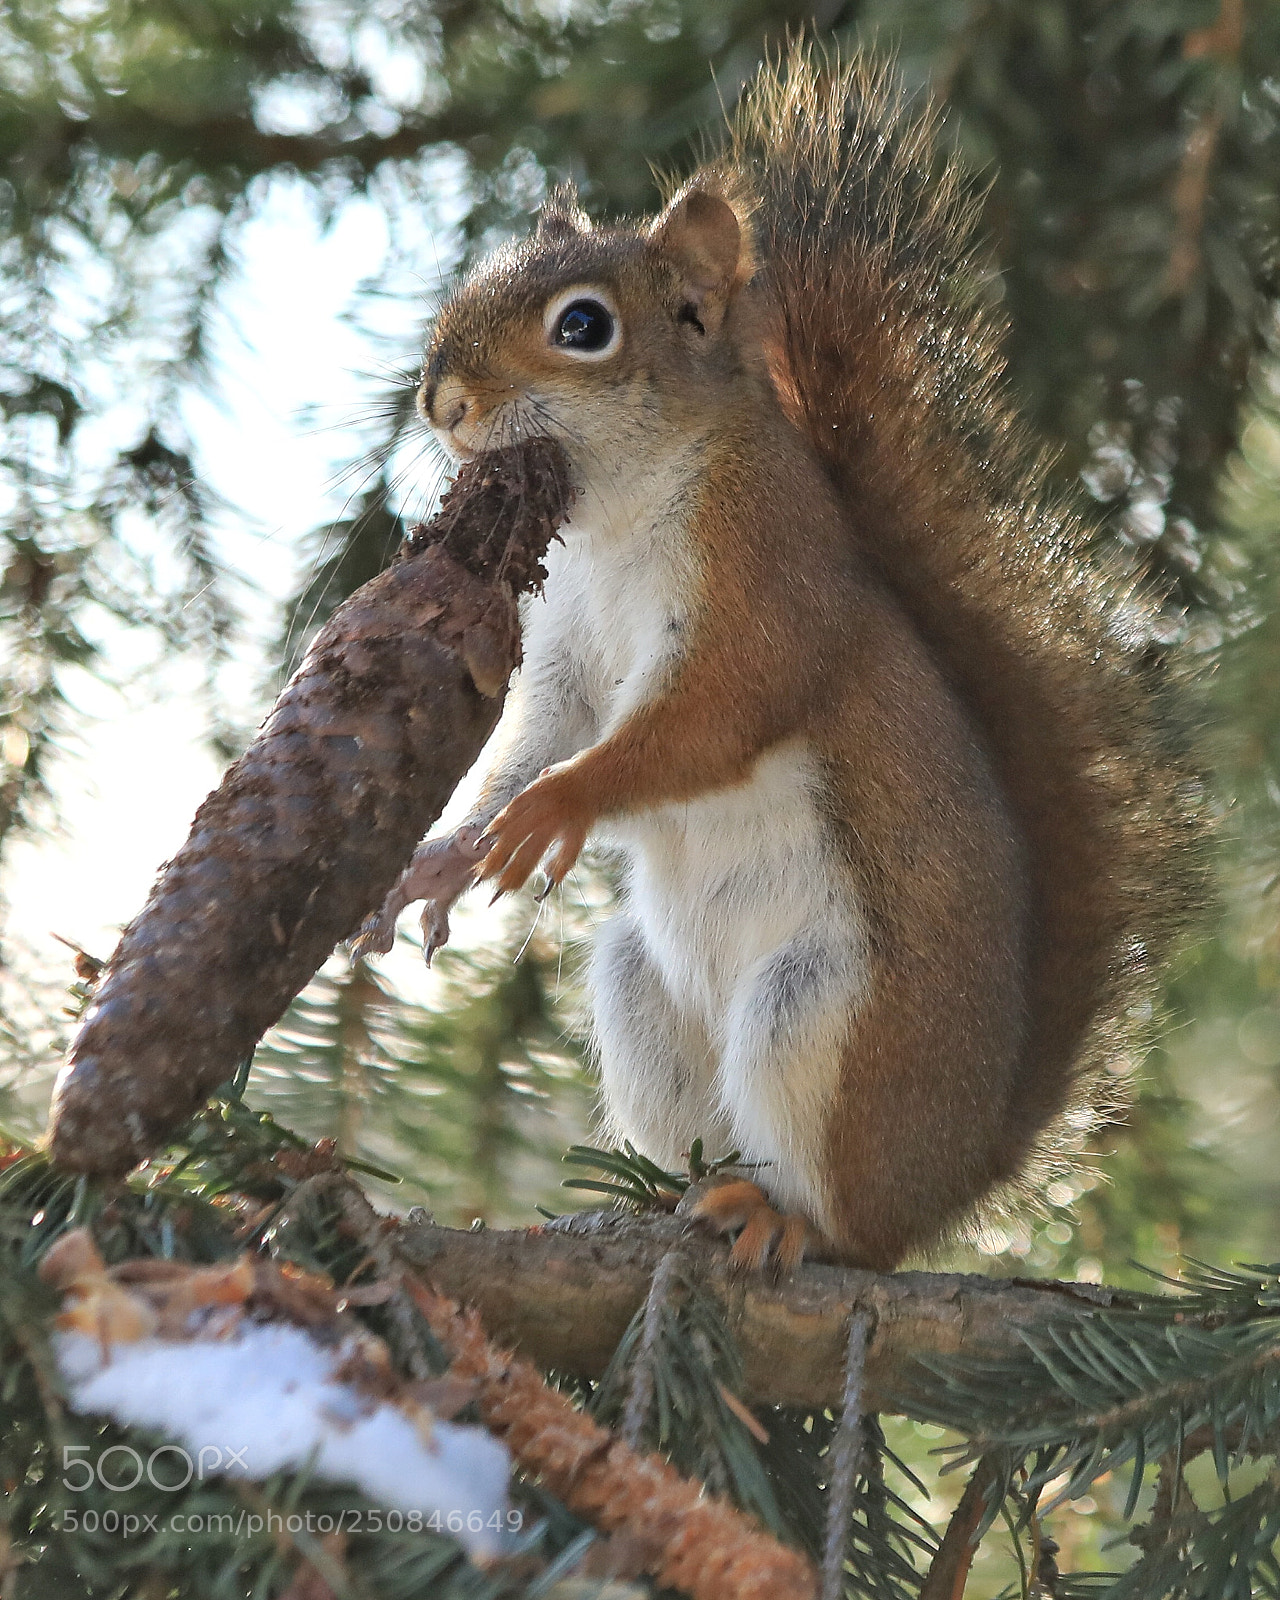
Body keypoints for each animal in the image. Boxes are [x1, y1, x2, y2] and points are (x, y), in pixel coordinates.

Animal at [358, 47, 1203, 1271]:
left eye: (582, 325)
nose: (442, 402)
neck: (618, 514)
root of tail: (951, 1181)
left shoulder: (759, 586)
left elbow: (708, 718)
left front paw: (554, 809)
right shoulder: (565, 651)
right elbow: (538, 733)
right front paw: (445, 855)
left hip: (821, 1012)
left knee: (840, 1214)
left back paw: (782, 1218)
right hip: (641, 992)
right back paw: (655, 1201)